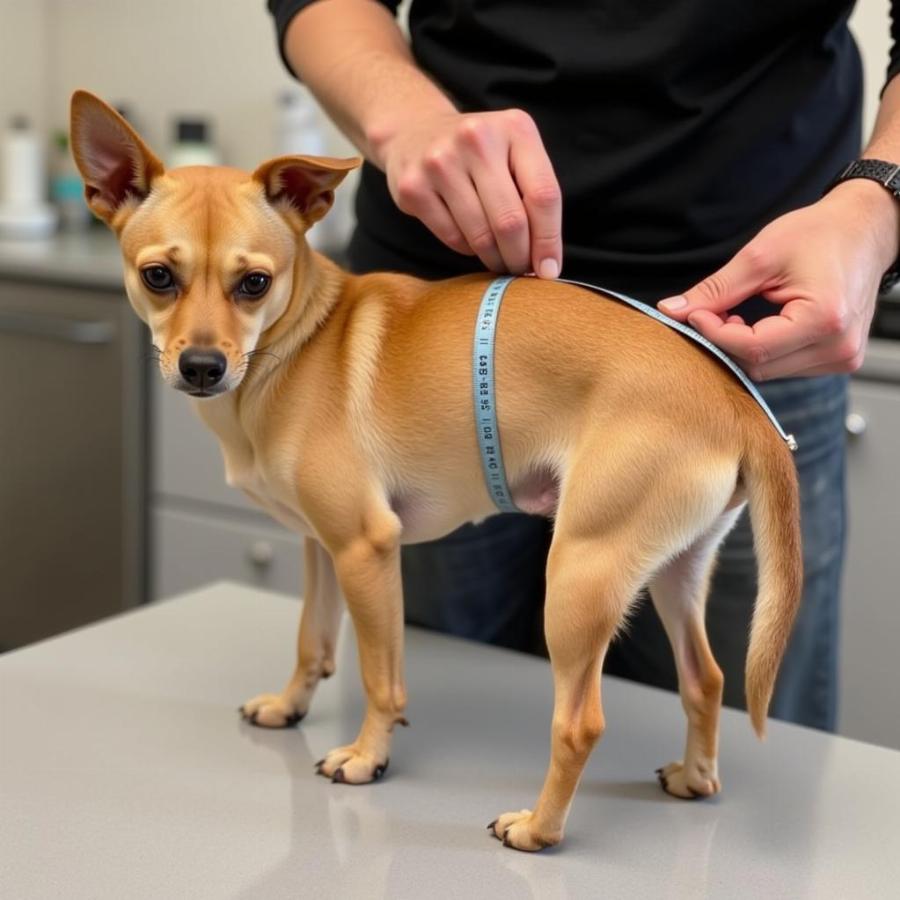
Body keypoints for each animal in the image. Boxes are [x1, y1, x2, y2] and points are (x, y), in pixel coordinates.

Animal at [72, 89, 800, 852]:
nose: (202, 367)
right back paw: (695, 776)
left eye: (254, 283)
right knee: (706, 679)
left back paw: (537, 828)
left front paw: (367, 756)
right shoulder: (321, 547)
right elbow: (312, 642)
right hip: (674, 569)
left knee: (580, 724)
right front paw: (290, 705)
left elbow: (380, 676)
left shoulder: (367, 550)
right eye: (158, 276)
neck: (297, 343)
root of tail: (739, 403)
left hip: (580, 575)